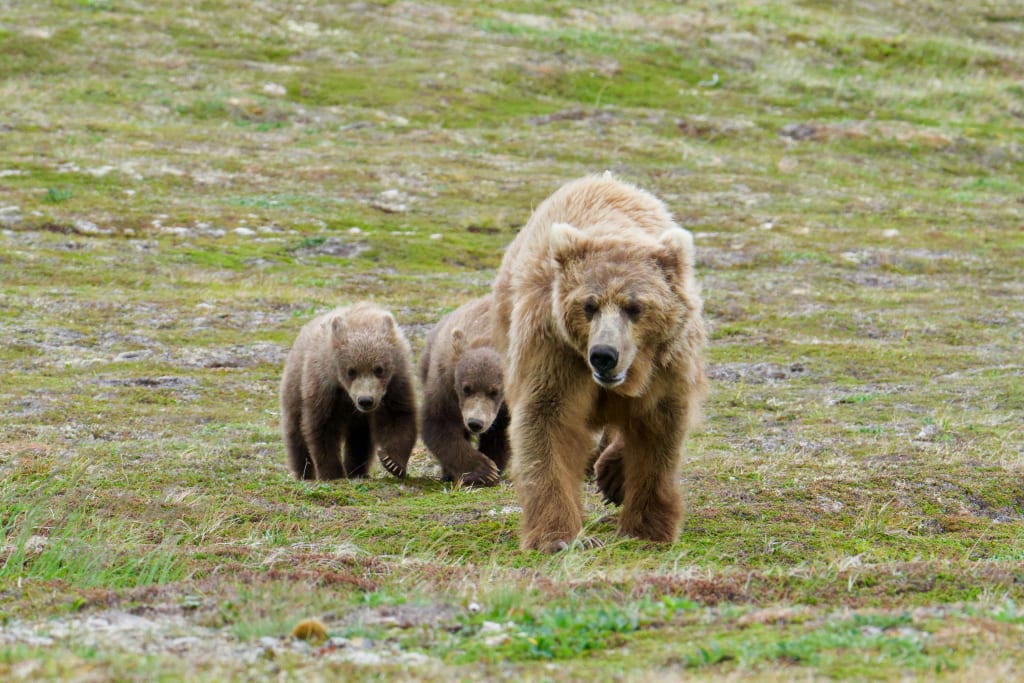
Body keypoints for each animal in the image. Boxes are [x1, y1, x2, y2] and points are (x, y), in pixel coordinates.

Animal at [279, 302, 418, 481]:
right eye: (351, 371)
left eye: (379, 369)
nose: (365, 400)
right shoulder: (324, 387)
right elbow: (322, 428)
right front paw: (332, 473)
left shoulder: (395, 383)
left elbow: (397, 417)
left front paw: (393, 463)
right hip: (295, 388)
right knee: (295, 433)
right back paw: (304, 473)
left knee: (360, 440)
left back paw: (357, 471)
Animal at [419, 295, 509, 486]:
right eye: (466, 388)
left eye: (495, 391)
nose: (475, 422)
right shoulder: (445, 383)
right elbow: (440, 424)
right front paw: (484, 470)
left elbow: (501, 432)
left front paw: (493, 467)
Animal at [492, 173, 707, 552]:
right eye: (588, 306)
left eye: (635, 307)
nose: (604, 355)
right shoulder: (554, 350)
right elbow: (547, 422)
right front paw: (559, 538)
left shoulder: (667, 366)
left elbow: (659, 433)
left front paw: (647, 527)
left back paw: (612, 474)